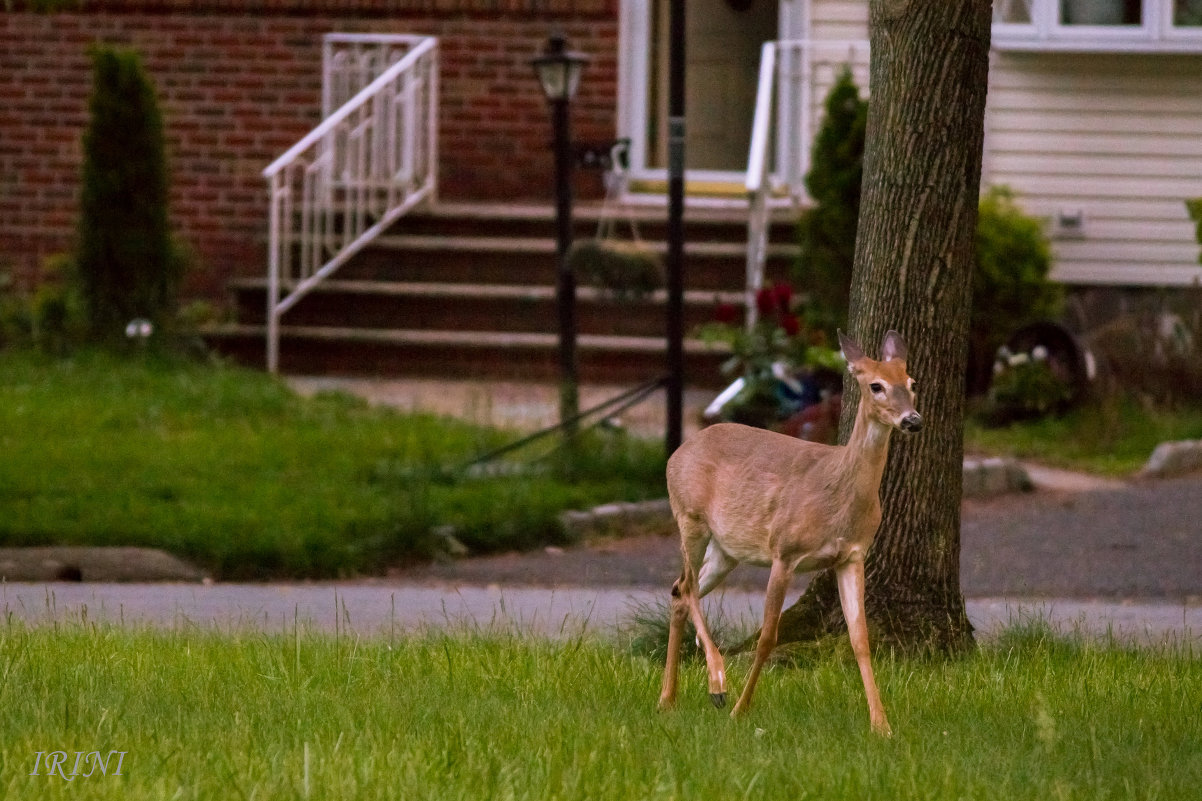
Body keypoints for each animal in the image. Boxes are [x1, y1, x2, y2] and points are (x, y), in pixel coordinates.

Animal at [658, 327, 918, 731]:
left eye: (911, 382)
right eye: (876, 385)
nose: (912, 420)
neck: (838, 493)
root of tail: (677, 452)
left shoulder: (852, 555)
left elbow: (860, 639)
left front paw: (882, 725)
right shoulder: (785, 550)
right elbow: (767, 636)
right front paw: (740, 709)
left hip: (726, 548)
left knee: (680, 589)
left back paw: (668, 699)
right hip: (690, 516)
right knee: (686, 587)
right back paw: (717, 685)